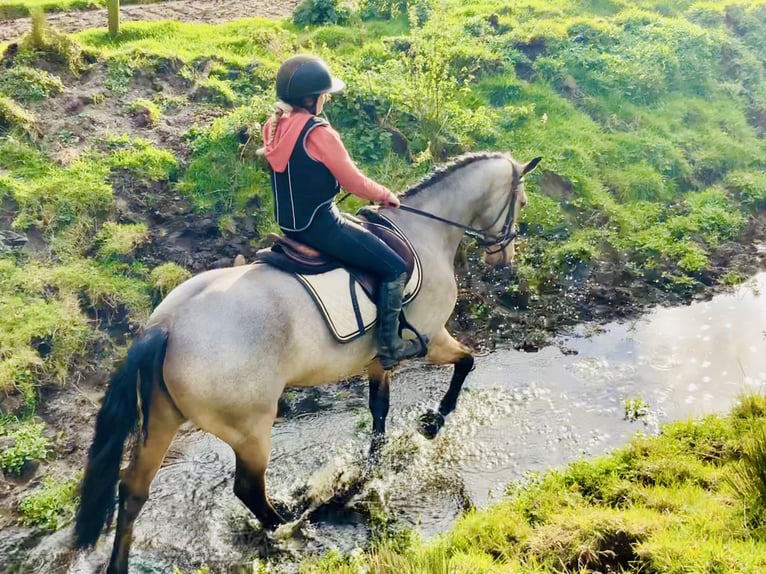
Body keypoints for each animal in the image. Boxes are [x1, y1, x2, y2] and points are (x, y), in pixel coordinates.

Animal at [70, 151, 540, 572]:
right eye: (521, 202)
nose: (504, 257)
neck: (426, 230)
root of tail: (167, 325)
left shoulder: (377, 360)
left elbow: (379, 412)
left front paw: (370, 470)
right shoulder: (432, 337)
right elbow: (466, 363)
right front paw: (432, 423)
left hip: (163, 419)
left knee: (134, 489)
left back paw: (121, 564)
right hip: (250, 428)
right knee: (248, 491)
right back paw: (295, 527)